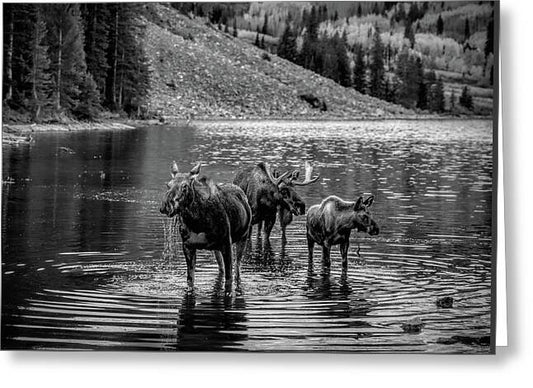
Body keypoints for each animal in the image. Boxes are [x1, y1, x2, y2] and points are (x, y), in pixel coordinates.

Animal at [160, 161, 251, 292]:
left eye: (184, 186)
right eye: (168, 185)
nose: (166, 205)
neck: (197, 222)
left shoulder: (227, 243)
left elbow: (229, 279)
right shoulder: (188, 245)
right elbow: (190, 280)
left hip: (243, 237)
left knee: (237, 269)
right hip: (216, 248)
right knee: (221, 269)